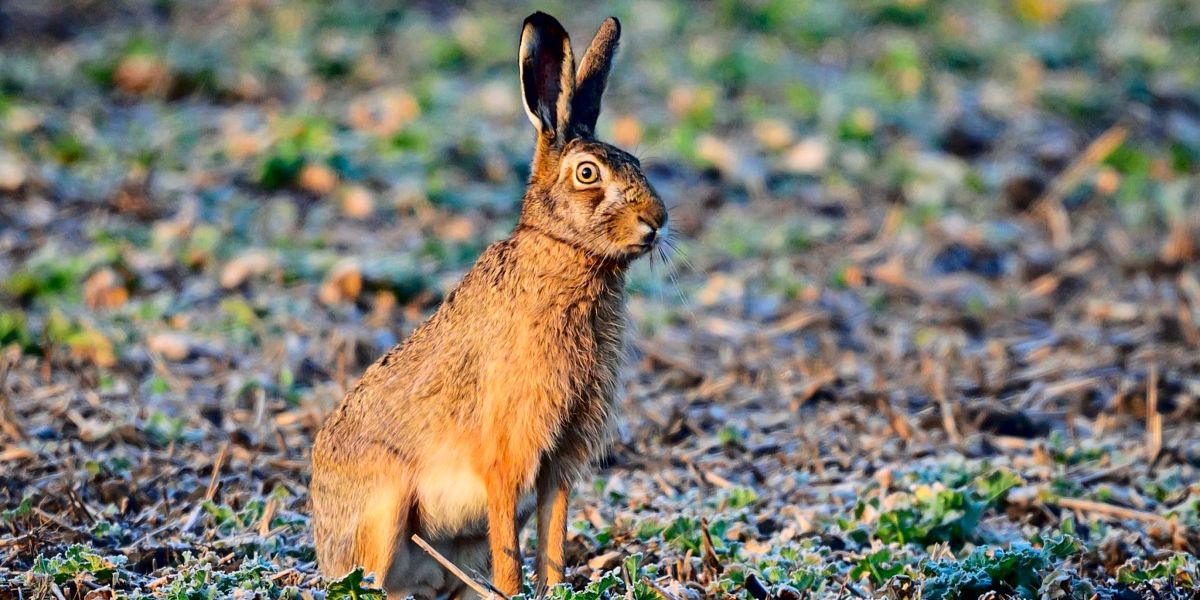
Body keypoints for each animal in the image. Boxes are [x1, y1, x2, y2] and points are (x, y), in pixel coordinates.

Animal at [310, 11, 666, 599]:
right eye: (587, 173)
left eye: (637, 162)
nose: (656, 220)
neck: (569, 258)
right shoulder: (506, 459)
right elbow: (511, 558)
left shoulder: (558, 467)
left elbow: (552, 545)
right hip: (386, 506)